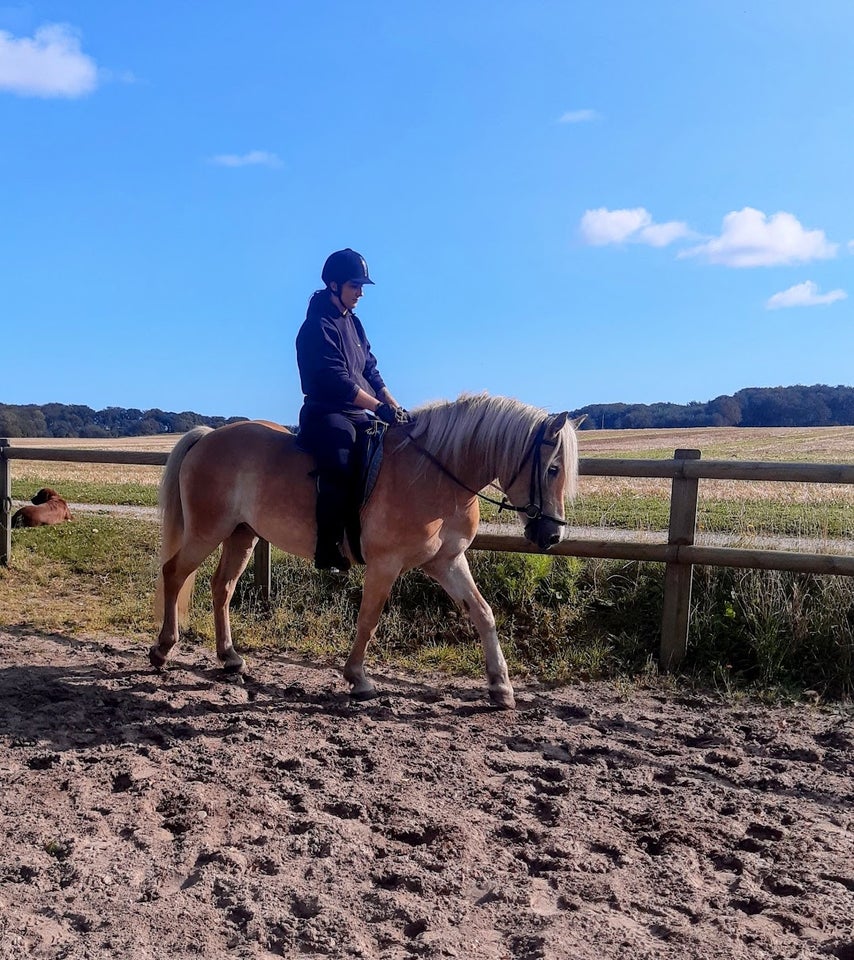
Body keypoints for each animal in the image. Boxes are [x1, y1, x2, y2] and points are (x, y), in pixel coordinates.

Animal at [152, 394, 580, 708]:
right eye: (553, 468)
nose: (551, 535)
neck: (434, 474)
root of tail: (208, 437)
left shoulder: (446, 561)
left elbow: (483, 613)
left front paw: (500, 687)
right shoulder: (385, 564)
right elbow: (369, 619)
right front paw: (358, 678)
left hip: (241, 535)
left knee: (221, 588)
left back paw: (229, 658)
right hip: (208, 531)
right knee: (174, 573)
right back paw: (163, 649)